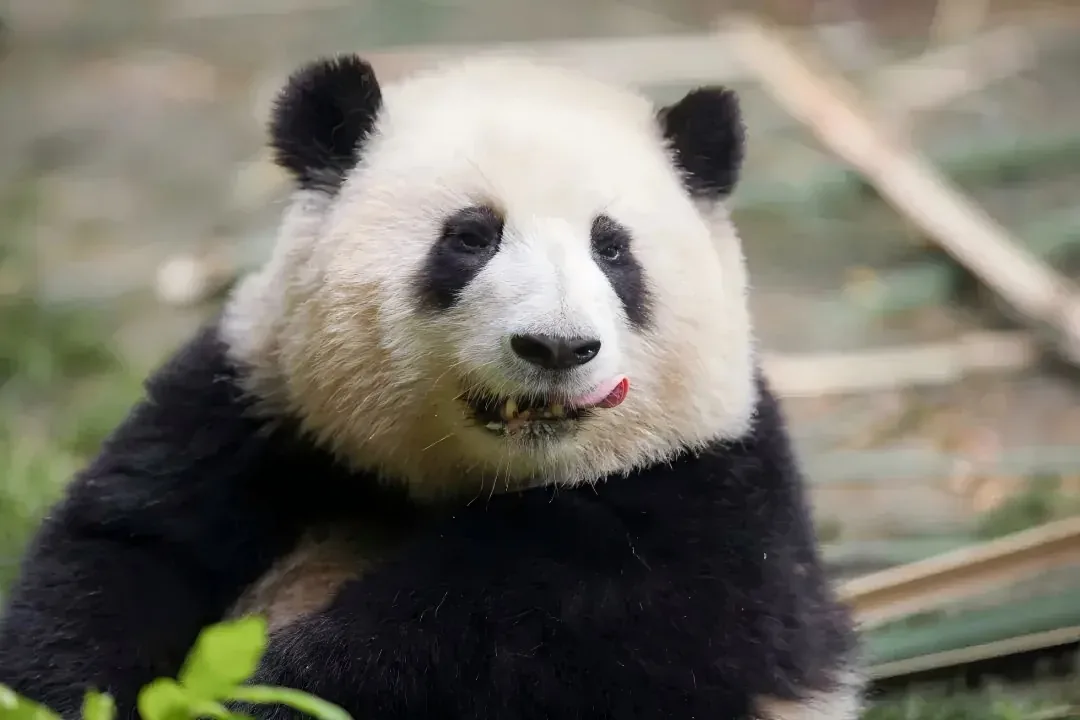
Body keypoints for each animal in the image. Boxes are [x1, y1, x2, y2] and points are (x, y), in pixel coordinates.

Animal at [0, 53, 862, 720]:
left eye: (613, 249)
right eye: (471, 237)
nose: (556, 345)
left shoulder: (708, 498)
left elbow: (511, 639)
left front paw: (269, 693)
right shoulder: (259, 402)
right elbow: (121, 552)